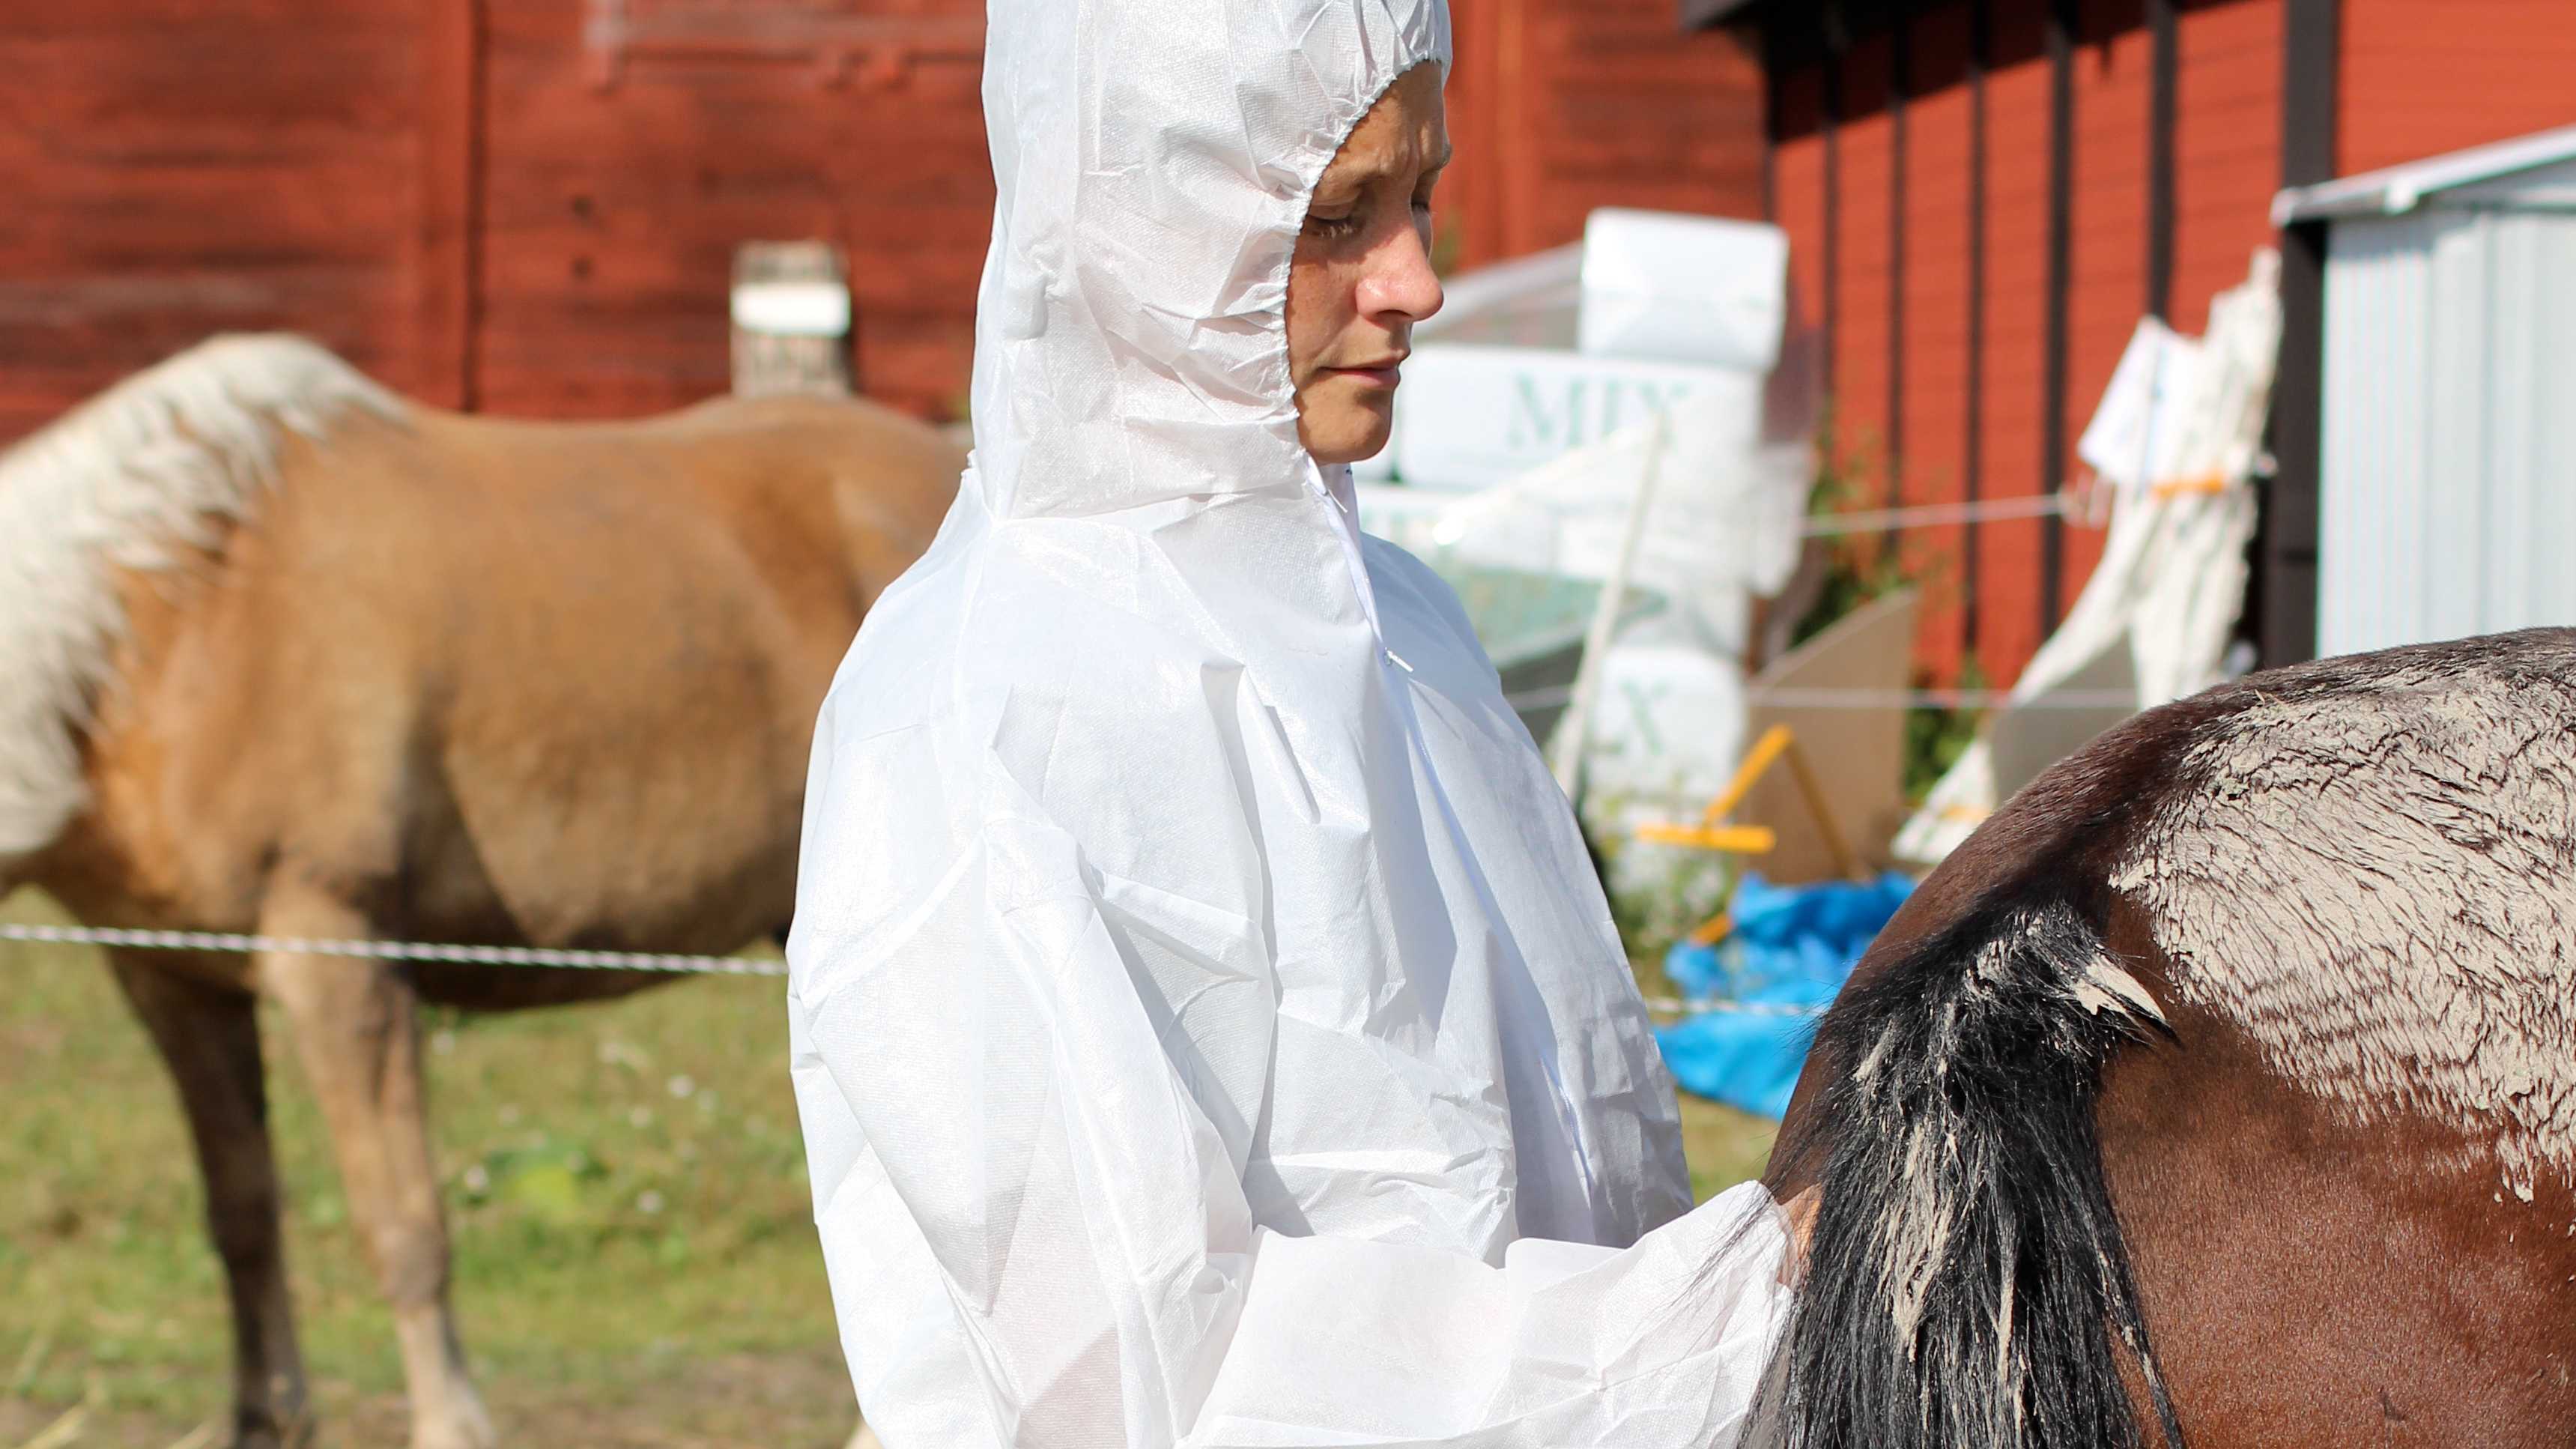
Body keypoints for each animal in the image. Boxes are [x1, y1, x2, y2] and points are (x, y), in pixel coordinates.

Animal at [0, 335, 958, 1444]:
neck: (173, 614)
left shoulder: (338, 959)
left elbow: (402, 1226)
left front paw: (448, 1421)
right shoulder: (172, 978)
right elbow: (241, 1215)